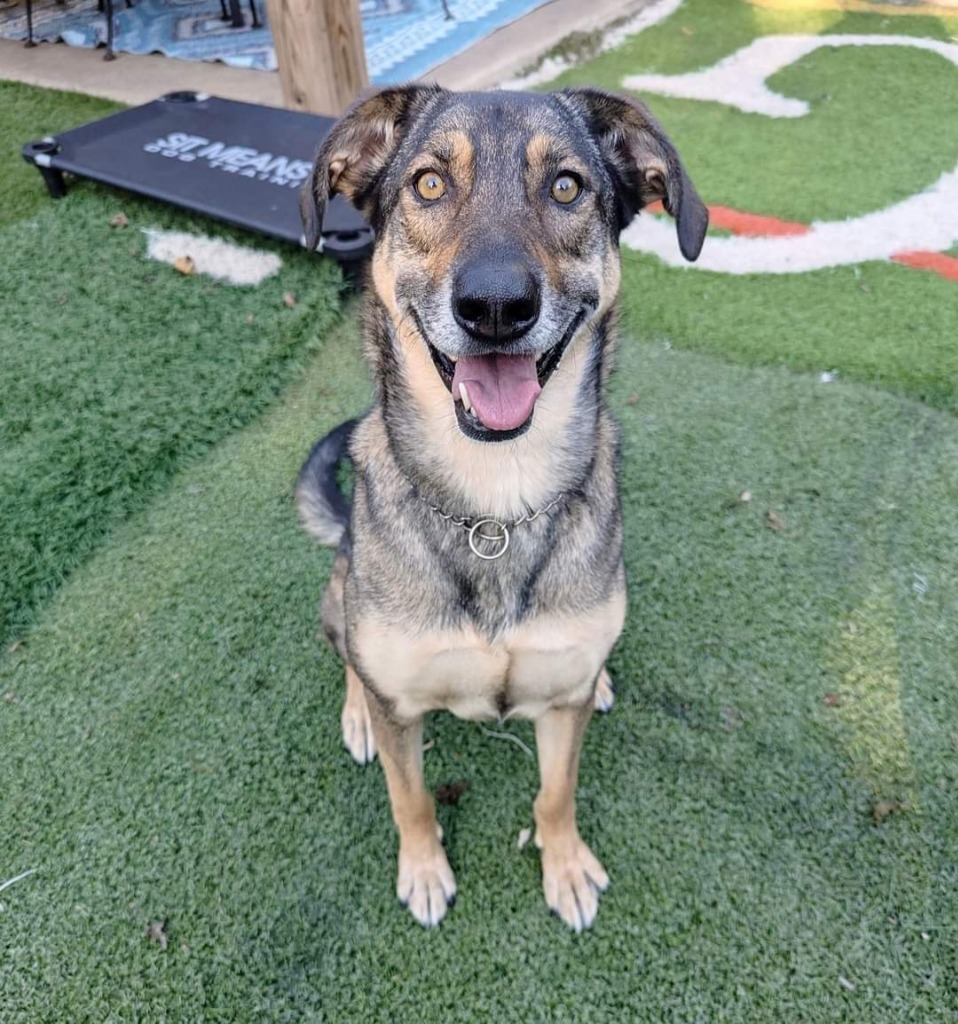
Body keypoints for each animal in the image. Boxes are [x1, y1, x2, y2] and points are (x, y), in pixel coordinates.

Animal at [294, 83, 708, 933]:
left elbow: (556, 792)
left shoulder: (560, 704)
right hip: (340, 587)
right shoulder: (403, 707)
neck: (495, 500)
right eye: (427, 183)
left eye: (567, 187)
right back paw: (355, 711)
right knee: (351, 657)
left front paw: (567, 867)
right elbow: (410, 796)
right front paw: (424, 870)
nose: (494, 306)